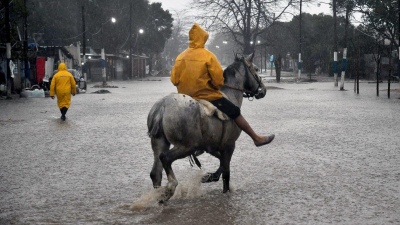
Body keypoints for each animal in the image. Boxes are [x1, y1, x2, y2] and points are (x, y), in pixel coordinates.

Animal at [147, 52, 266, 202]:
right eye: (256, 68)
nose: (263, 90)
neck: (231, 94)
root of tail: (162, 106)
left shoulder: (210, 146)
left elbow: (222, 163)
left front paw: (210, 176)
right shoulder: (229, 145)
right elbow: (226, 172)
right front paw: (222, 187)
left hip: (160, 142)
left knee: (156, 172)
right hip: (186, 146)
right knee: (165, 158)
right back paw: (170, 187)